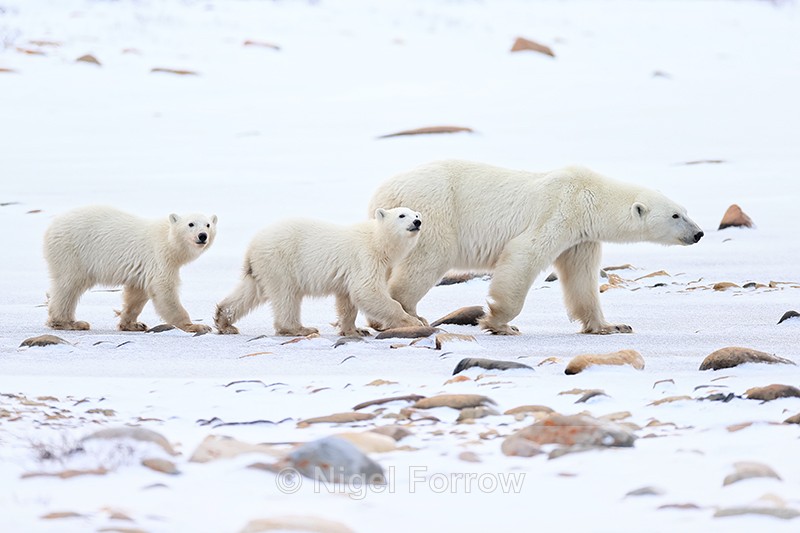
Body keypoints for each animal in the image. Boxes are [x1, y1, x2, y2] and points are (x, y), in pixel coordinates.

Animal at [43, 206, 217, 333]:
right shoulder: (158, 257)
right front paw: (196, 326)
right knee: (69, 285)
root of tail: (51, 227)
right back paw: (70, 323)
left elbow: (137, 293)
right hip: (72, 253)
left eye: (208, 225)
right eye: (191, 224)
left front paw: (133, 324)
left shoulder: (142, 268)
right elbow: (164, 289)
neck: (169, 242)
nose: (202, 236)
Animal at [214, 207, 423, 337]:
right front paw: (413, 321)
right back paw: (301, 328)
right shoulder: (365, 257)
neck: (378, 241)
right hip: (282, 262)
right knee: (286, 296)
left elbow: (347, 301)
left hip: (262, 268)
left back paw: (224, 321)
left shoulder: (350, 272)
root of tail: (252, 246)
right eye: (402, 215)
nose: (418, 221)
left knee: (250, 292)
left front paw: (355, 330)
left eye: (416, 214)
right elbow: (367, 291)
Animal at [368, 160, 704, 335]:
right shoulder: (558, 212)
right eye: (676, 215)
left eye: (685, 210)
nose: (699, 233)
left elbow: (582, 279)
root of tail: (382, 193)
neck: (588, 197)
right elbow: (524, 255)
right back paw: (408, 316)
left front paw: (611, 325)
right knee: (428, 258)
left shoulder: (581, 238)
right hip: (433, 213)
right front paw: (499, 322)